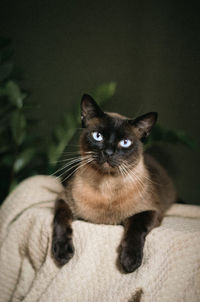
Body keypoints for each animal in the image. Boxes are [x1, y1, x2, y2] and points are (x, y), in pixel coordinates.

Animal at [51, 94, 177, 274]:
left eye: (125, 142)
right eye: (98, 136)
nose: (108, 152)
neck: (106, 186)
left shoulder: (151, 211)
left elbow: (136, 228)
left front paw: (129, 261)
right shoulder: (63, 199)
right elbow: (60, 219)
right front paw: (62, 252)